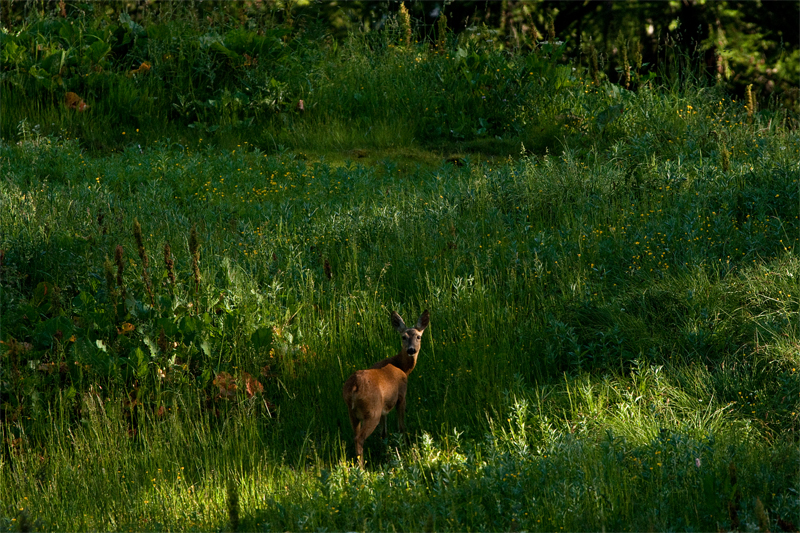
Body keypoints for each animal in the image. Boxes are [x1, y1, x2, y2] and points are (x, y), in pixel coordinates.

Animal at [344, 308, 432, 466]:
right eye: (403, 337)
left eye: (418, 337)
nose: (411, 350)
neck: (402, 367)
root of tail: (353, 388)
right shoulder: (401, 396)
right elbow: (401, 427)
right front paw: (404, 447)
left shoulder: (384, 407)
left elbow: (383, 433)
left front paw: (386, 452)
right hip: (372, 411)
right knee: (359, 439)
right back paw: (361, 468)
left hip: (353, 412)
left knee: (355, 434)